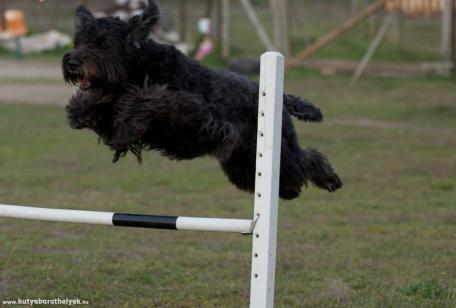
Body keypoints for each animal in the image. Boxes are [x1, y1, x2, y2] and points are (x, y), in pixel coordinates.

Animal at [64, 0, 342, 200]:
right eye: (79, 40)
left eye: (103, 43)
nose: (72, 63)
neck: (140, 65)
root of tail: (282, 97)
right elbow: (105, 108)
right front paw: (81, 110)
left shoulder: (190, 110)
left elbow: (146, 98)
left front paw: (127, 120)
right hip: (242, 161)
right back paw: (290, 190)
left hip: (279, 150)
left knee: (305, 158)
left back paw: (329, 179)